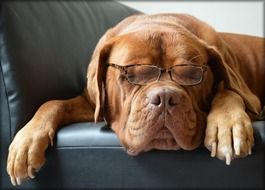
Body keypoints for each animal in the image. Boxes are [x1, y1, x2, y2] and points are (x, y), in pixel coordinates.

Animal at [6, 13, 262, 186]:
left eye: (191, 75)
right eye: (133, 74)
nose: (165, 97)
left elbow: (228, 91)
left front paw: (227, 126)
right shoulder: (91, 103)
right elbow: (52, 103)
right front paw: (27, 142)